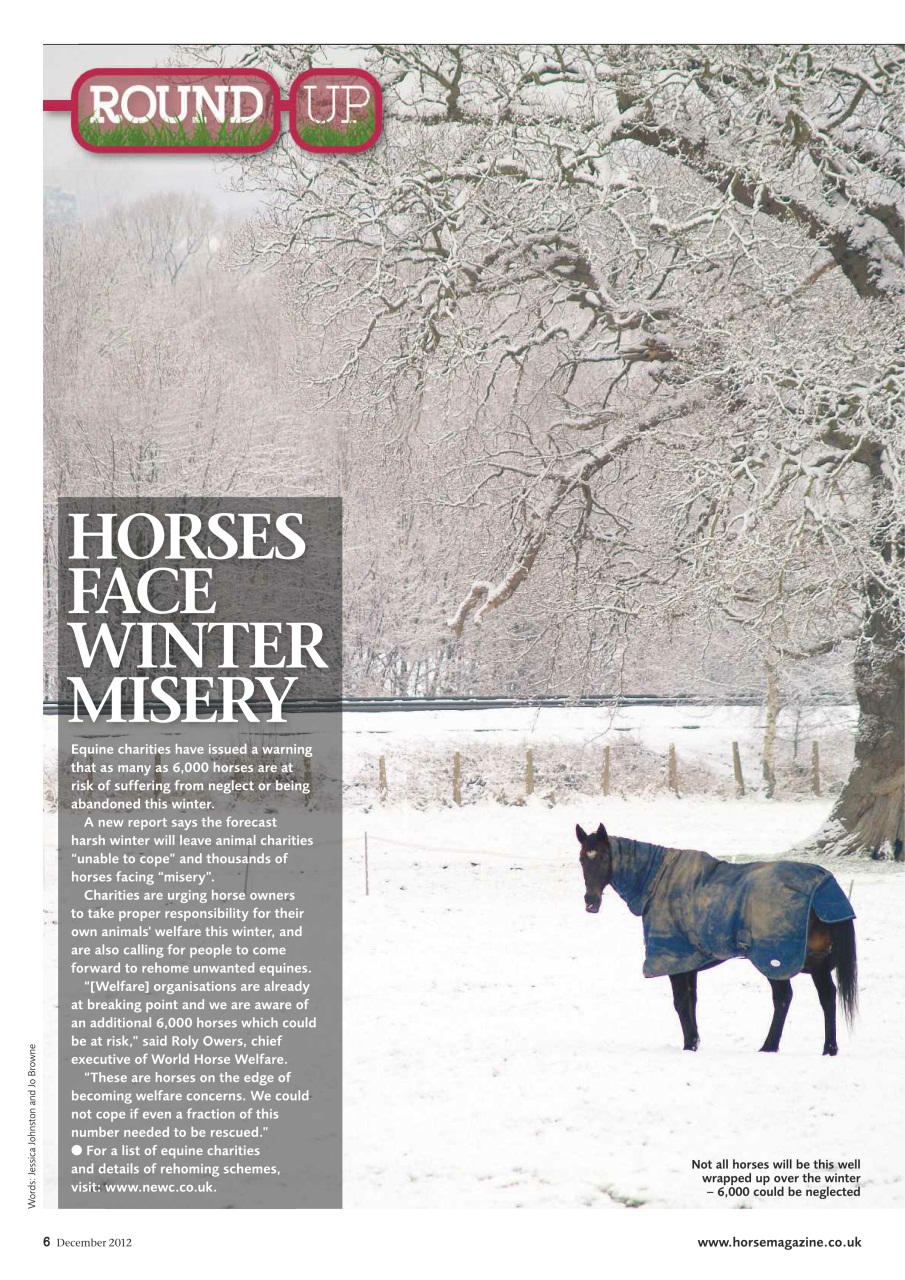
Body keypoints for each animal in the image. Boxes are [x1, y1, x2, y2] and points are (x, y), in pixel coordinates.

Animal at [575, 822, 858, 1055]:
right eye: (581, 859)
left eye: (603, 857)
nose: (590, 901)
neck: (658, 879)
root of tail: (823, 888)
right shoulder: (688, 961)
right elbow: (691, 1001)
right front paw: (694, 1042)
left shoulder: (674, 959)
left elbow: (681, 1002)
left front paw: (688, 1046)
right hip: (814, 961)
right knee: (826, 997)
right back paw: (828, 1048)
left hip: (776, 959)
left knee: (786, 998)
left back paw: (771, 1046)